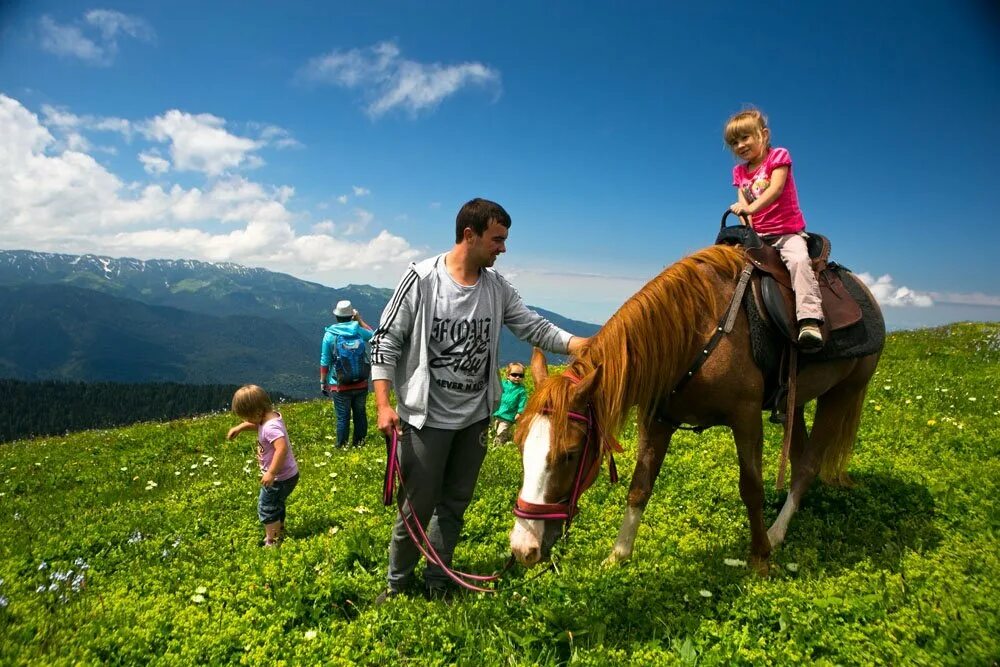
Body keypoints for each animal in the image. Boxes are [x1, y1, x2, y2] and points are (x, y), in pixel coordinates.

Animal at [508, 243, 884, 572]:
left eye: (570, 454)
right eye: (520, 446)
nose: (523, 549)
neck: (695, 333)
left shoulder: (746, 417)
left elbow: (752, 488)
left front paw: (760, 559)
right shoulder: (657, 420)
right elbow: (639, 488)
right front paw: (618, 556)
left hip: (842, 392)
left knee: (808, 465)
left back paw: (775, 534)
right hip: (798, 401)